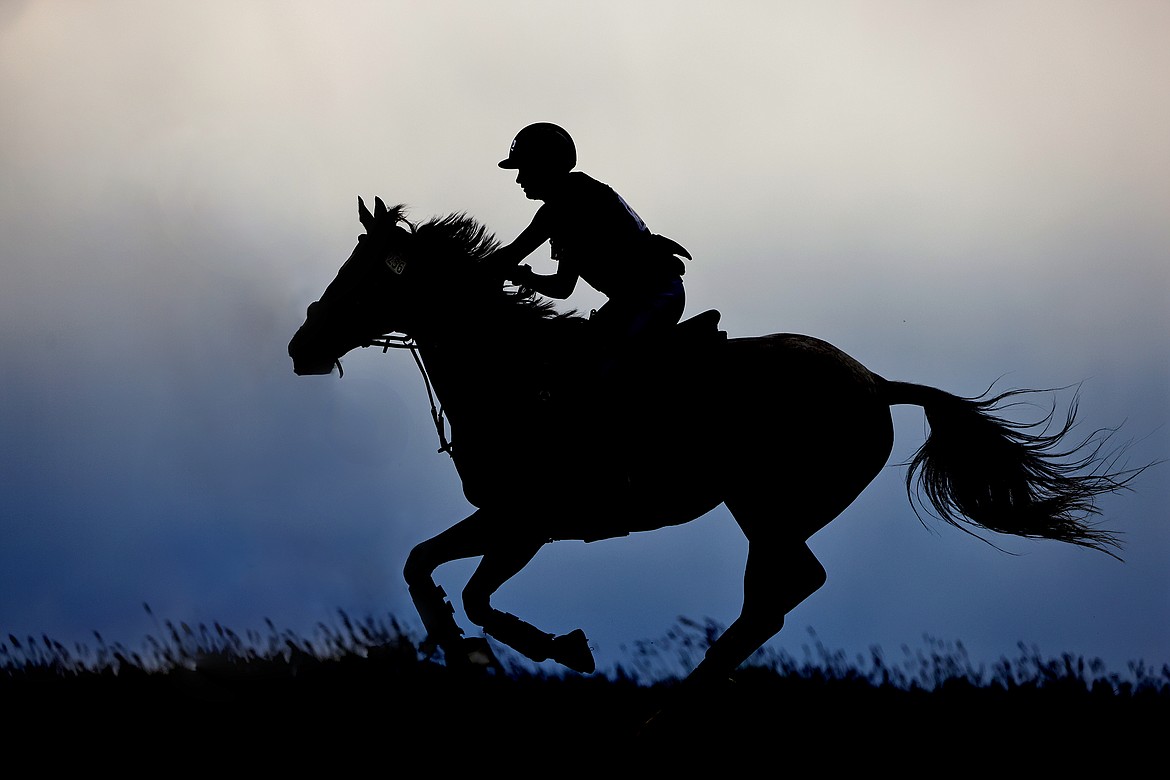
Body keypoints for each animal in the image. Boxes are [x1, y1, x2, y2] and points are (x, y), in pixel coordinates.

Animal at [287, 196, 1137, 687]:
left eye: (366, 275)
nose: (303, 344)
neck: (511, 370)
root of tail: (878, 384)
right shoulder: (507, 518)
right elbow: (421, 566)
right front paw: (464, 649)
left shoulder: (528, 521)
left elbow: (470, 592)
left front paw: (547, 648)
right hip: (767, 510)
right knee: (775, 600)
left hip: (769, 506)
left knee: (779, 596)